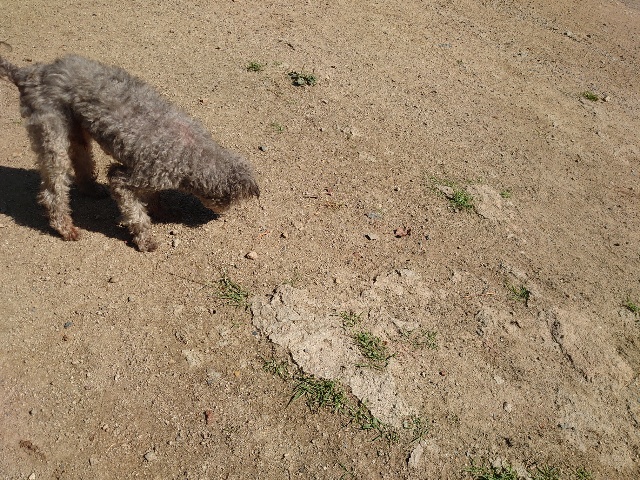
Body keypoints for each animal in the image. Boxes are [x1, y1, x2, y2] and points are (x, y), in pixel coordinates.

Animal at [0, 54, 259, 251]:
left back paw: (91, 190)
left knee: (81, 160)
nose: (222, 214)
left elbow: (154, 197)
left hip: (75, 127)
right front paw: (146, 241)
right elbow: (135, 213)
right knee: (53, 191)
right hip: (51, 133)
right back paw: (65, 228)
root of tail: (28, 73)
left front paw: (162, 211)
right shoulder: (124, 179)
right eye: (230, 201)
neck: (193, 153)